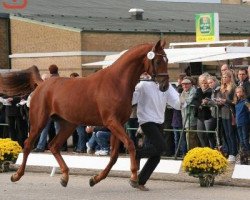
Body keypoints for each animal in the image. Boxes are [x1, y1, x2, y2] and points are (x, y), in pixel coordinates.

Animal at [10, 40, 169, 188]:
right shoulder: (111, 122)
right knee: (28, 144)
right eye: (158, 61)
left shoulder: (117, 124)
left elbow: (114, 155)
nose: (165, 86)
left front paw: (95, 179)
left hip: (68, 124)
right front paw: (134, 178)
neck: (116, 82)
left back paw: (65, 177)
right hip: (39, 121)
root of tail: (42, 84)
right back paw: (17, 175)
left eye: (166, 60)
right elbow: (130, 144)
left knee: (54, 145)